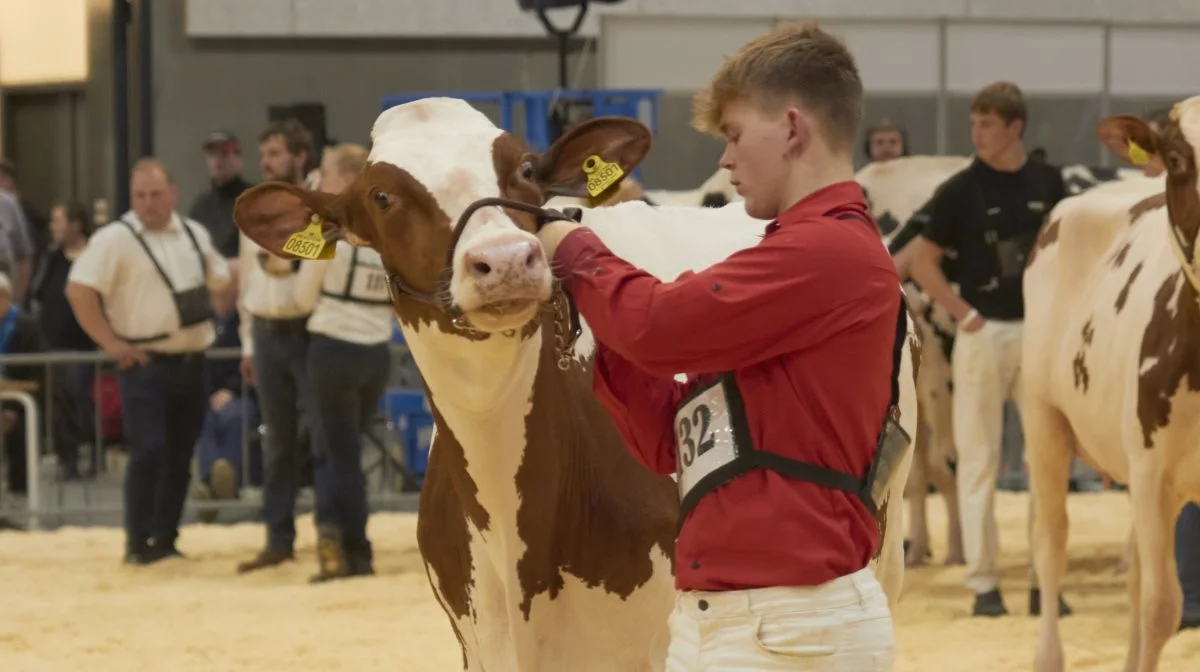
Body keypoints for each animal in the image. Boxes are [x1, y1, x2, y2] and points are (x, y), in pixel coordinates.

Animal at [1022, 96, 1200, 672]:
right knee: (1051, 545)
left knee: (1138, 577)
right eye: (1176, 159)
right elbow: (1164, 610)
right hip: (1044, 423)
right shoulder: (1153, 471)